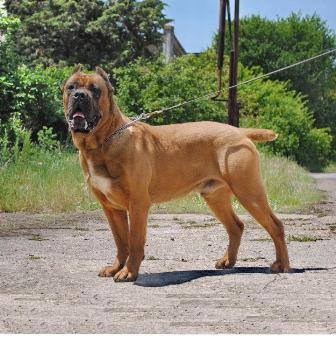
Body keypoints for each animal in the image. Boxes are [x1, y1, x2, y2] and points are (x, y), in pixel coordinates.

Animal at [61, 66, 290, 284]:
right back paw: (227, 261)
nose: (79, 96)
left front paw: (128, 272)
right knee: (236, 226)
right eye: (71, 87)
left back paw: (282, 265)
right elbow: (121, 241)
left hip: (249, 192)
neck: (101, 142)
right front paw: (116, 267)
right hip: (215, 196)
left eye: (95, 89)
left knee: (275, 225)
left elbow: (134, 240)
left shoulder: (137, 204)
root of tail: (240, 132)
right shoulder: (110, 207)